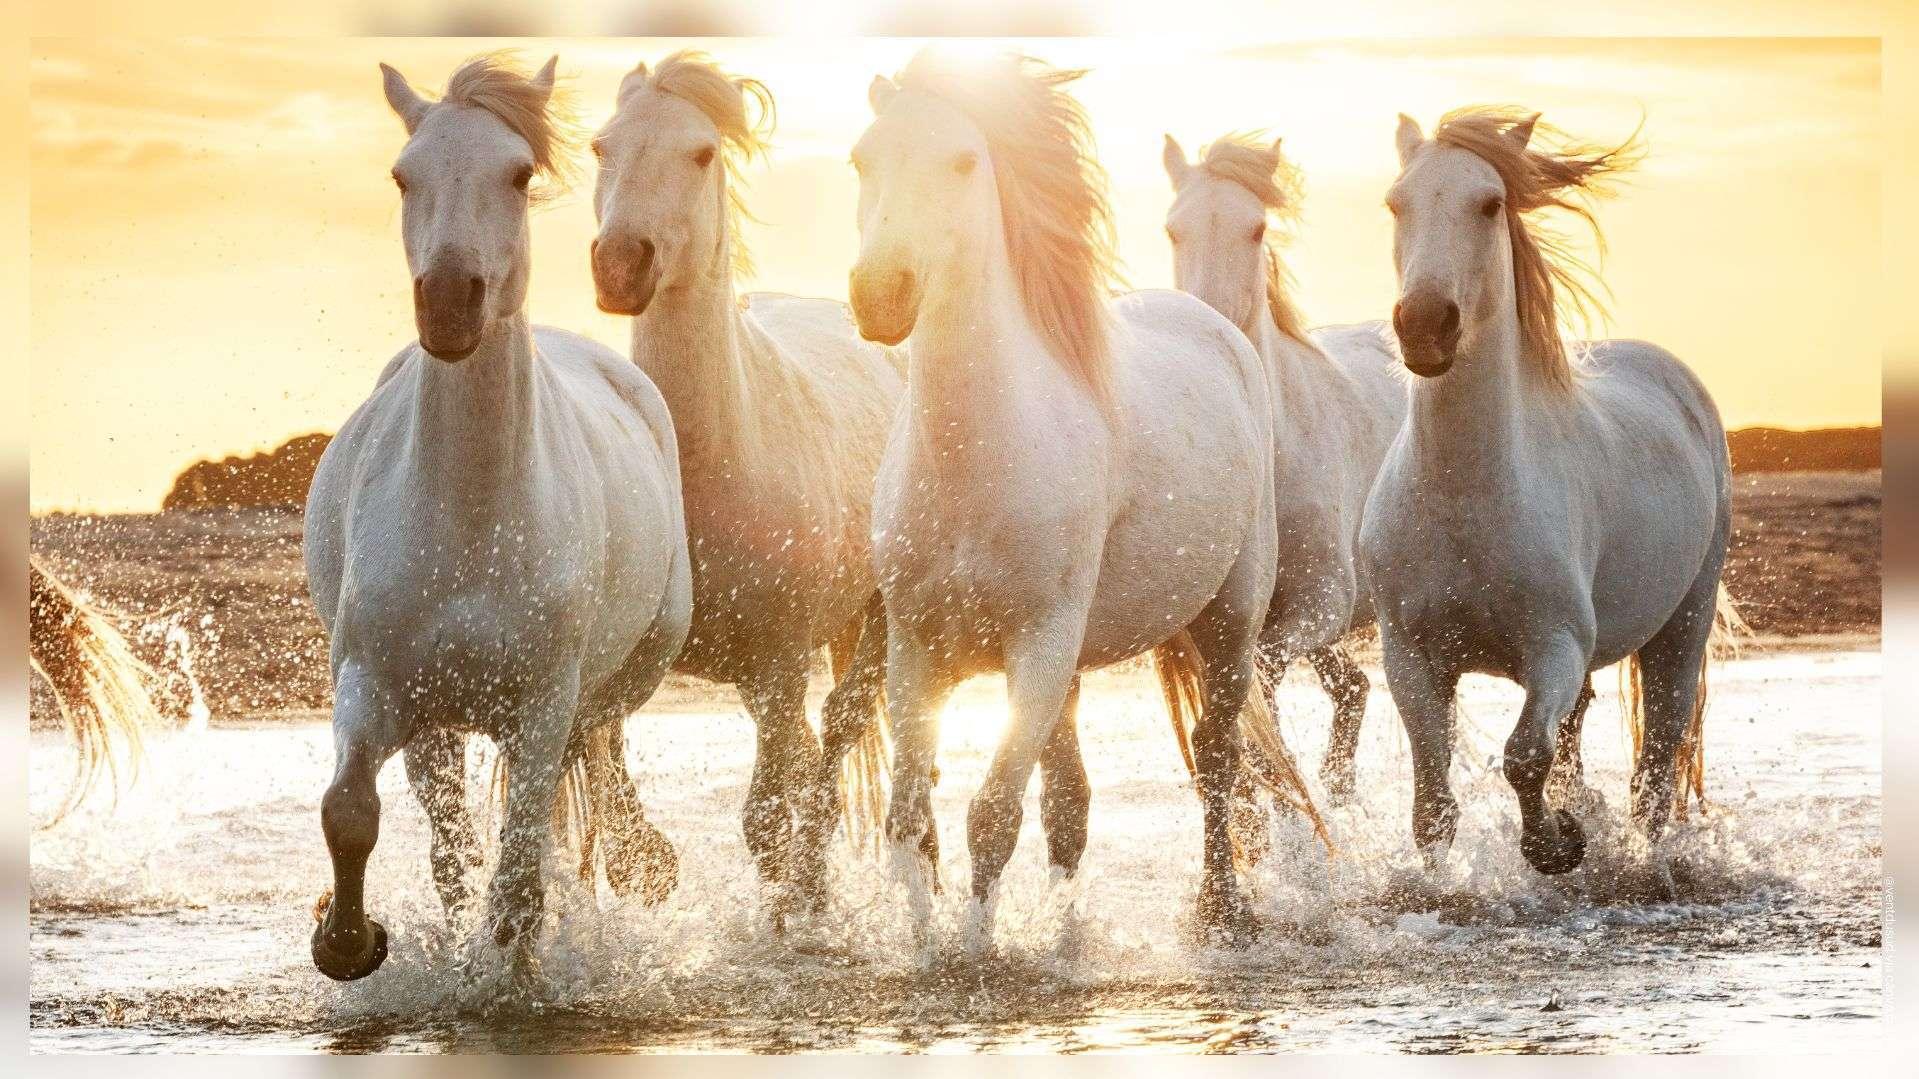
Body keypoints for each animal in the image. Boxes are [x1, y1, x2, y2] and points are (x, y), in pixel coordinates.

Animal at [303, 54, 692, 981]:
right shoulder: (376, 686)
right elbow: (353, 811)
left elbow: (519, 868)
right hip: (440, 722)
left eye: (517, 174)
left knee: (592, 769)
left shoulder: (543, 704)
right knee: (456, 833)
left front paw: (511, 973)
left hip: (616, 677)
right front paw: (349, 940)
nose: (450, 302)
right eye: (402, 175)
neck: (474, 518)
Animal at [587, 52, 909, 922]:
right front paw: (644, 865)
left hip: (865, 626)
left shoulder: (777, 660)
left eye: (701, 153)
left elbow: (766, 815)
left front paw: (781, 919)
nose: (620, 265)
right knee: (807, 748)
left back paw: (813, 887)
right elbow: (605, 768)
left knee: (832, 735)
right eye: (600, 145)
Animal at [851, 50, 1303, 948]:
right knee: (1071, 801)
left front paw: (973, 948)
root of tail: (1215, 327)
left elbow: (990, 814)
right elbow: (910, 815)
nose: (878, 293)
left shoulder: (1039, 645)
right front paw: (921, 940)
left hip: (1229, 624)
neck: (976, 459)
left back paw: (1221, 908)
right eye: (860, 159)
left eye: (963, 162)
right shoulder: (916, 649)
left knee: (1216, 757)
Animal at [1162, 132, 1408, 803]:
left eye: (1256, 227)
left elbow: (1261, 690)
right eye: (1173, 229)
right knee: (1353, 690)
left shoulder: (1319, 603)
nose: (1213, 327)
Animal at [1359, 107, 1737, 881]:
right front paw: (1445, 884)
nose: (1424, 325)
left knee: (1655, 767)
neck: (1466, 496)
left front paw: (1557, 843)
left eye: (1488, 203)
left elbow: (1522, 756)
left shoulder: (1553, 647)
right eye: (1394, 202)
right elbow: (1432, 802)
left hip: (1683, 623)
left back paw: (1640, 859)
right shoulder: (1410, 656)